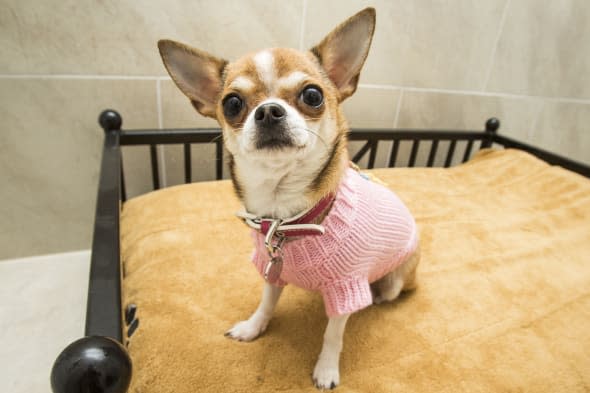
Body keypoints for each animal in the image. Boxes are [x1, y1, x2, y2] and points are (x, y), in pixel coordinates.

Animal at [160, 7, 420, 388]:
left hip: (396, 281)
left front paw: (326, 369)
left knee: (387, 293)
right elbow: (267, 302)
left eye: (312, 95)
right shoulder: (271, 269)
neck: (286, 217)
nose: (269, 111)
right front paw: (253, 327)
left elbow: (333, 334)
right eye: (232, 104)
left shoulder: (345, 287)